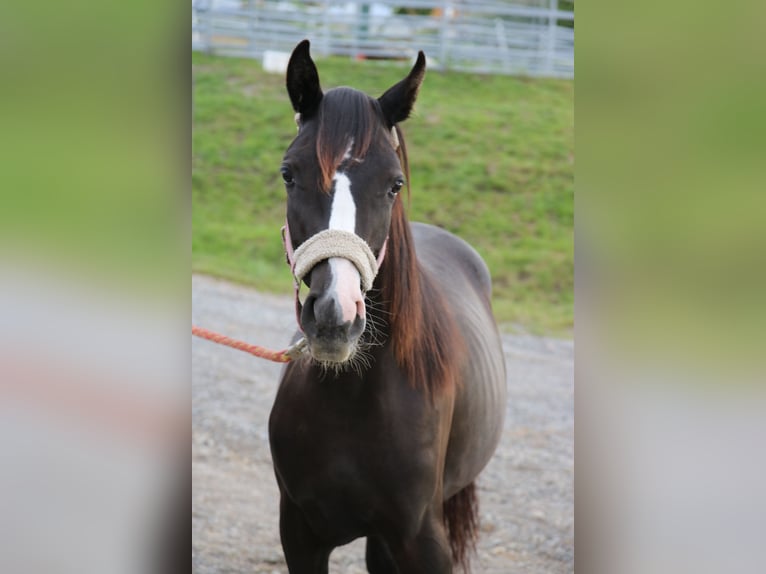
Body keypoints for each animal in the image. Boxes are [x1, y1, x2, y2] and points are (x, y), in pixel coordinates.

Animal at [270, 38, 510, 572]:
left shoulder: (423, 542)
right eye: (289, 174)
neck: (353, 397)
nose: (335, 315)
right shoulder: (299, 534)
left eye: (394, 183)